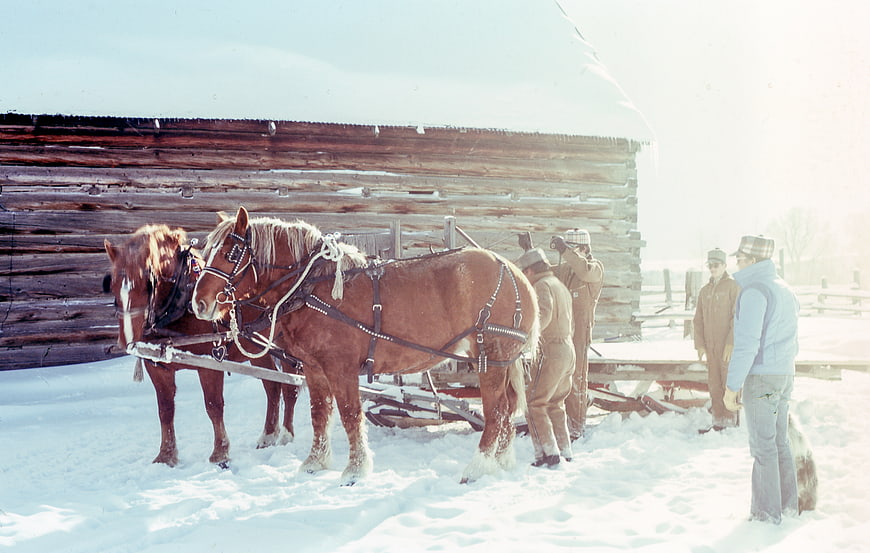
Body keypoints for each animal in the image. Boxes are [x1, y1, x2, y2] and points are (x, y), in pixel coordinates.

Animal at [103, 223, 300, 467]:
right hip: (257, 351)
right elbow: (165, 410)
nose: (127, 340)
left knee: (290, 389)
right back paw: (268, 436)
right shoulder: (157, 367)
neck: (180, 304)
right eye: (111, 284)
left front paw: (220, 453)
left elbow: (213, 406)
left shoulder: (210, 363)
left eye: (147, 284)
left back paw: (286, 436)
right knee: (272, 387)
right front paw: (166, 456)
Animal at [190, 206, 539, 484]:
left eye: (230, 254)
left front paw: (355, 471)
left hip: (489, 356)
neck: (312, 286)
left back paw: (478, 467)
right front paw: (315, 463)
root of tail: (512, 271)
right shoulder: (314, 368)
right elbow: (320, 414)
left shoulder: (340, 367)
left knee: (495, 412)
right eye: (205, 252)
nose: (199, 303)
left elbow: (349, 414)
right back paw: (501, 461)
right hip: (502, 361)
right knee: (507, 409)